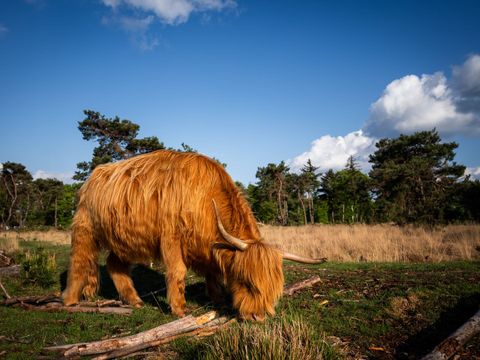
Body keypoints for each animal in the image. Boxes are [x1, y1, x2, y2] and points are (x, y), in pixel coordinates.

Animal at [62, 150, 322, 320]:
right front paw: (179, 309)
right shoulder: (171, 238)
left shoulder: (207, 247)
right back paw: (70, 301)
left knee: (115, 265)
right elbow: (178, 272)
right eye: (248, 283)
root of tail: (94, 176)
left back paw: (135, 301)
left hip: (125, 239)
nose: (258, 318)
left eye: (274, 290)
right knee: (79, 261)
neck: (207, 200)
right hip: (85, 228)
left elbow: (214, 274)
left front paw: (218, 299)